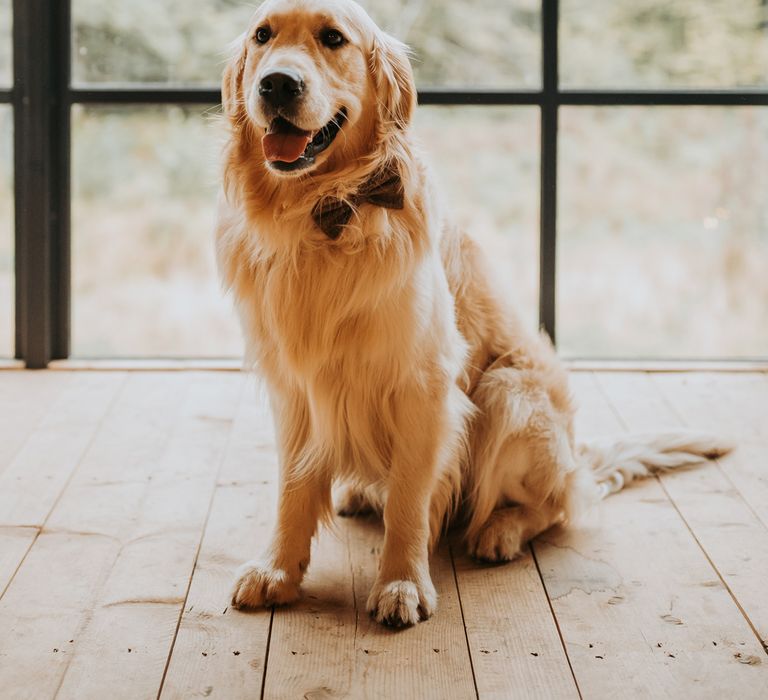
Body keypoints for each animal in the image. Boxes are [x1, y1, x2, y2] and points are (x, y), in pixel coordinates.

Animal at [218, 0, 732, 628]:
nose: (276, 84)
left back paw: (500, 530)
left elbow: (411, 501)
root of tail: (576, 458)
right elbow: (293, 491)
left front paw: (402, 582)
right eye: (262, 36)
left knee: (556, 504)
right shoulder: (295, 385)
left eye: (333, 38)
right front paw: (278, 571)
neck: (323, 215)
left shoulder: (425, 384)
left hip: (508, 393)